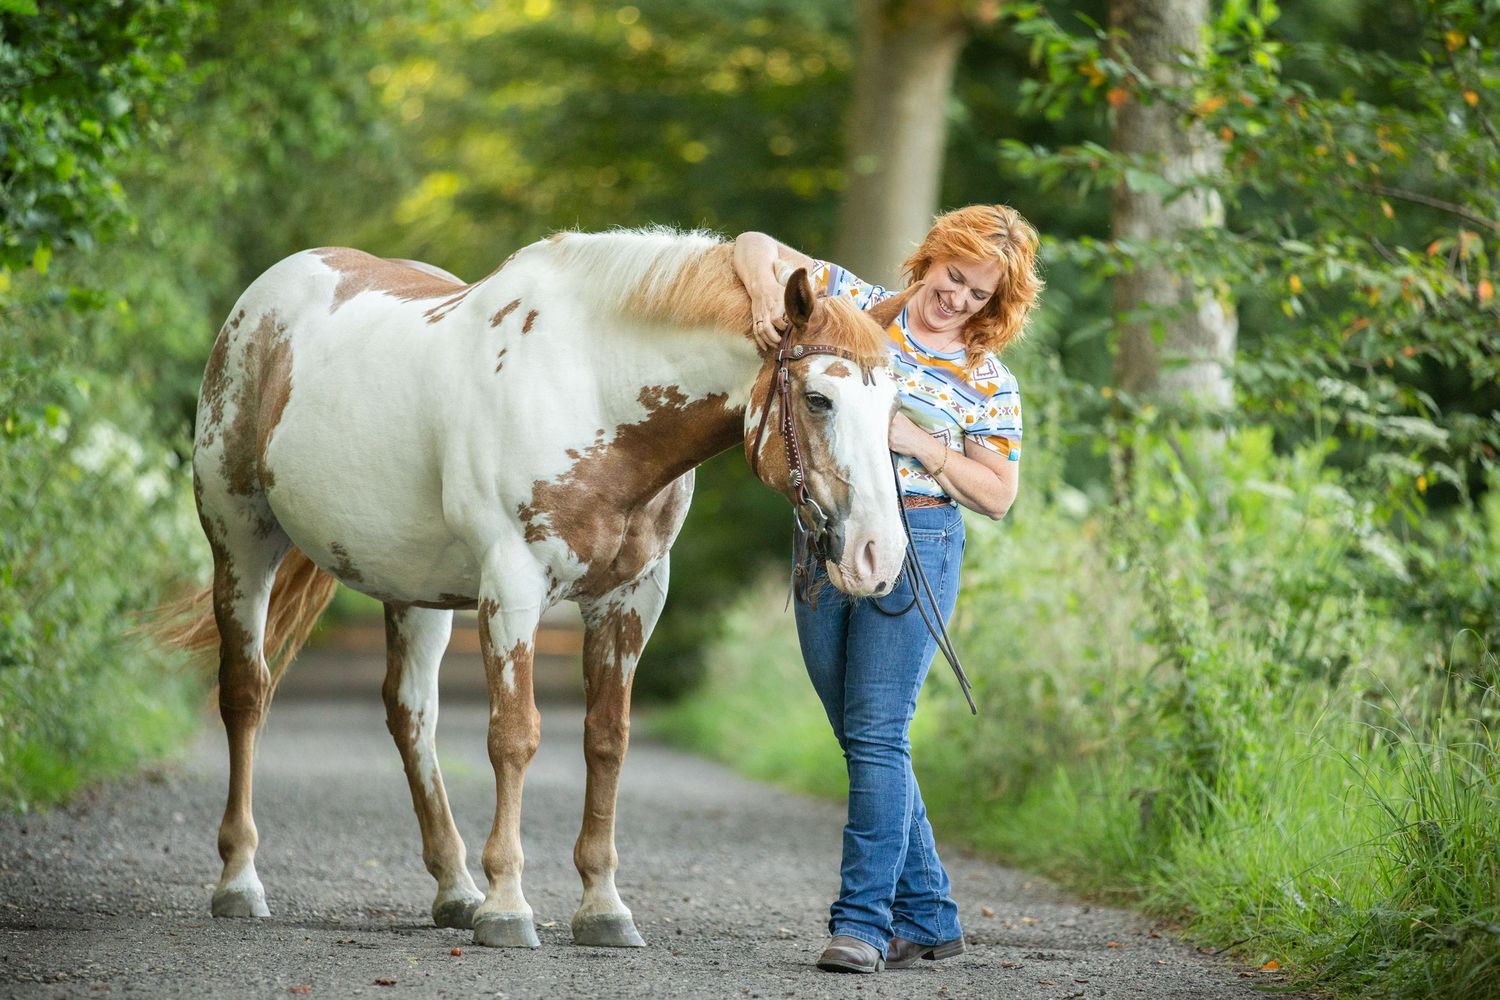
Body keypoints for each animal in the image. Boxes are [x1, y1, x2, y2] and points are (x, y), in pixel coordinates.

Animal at [164, 227, 923, 949]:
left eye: (892, 404)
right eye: (819, 399)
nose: (879, 555)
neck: (593, 387)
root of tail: (264, 300)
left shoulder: (632, 599)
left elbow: (606, 740)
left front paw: (604, 909)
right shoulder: (513, 585)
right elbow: (514, 736)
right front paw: (508, 907)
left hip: (413, 588)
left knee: (412, 715)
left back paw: (454, 888)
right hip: (241, 542)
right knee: (246, 694)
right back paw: (240, 880)